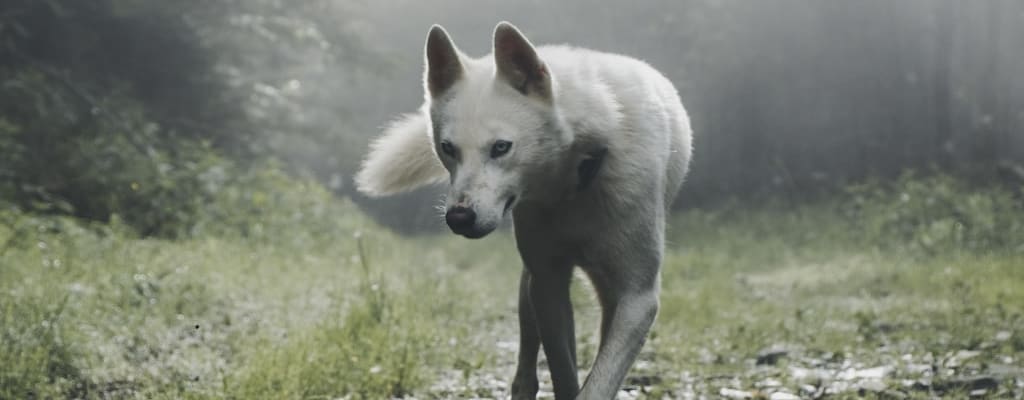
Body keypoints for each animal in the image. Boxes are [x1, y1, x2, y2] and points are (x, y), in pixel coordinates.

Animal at [354, 22, 696, 400]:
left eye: (501, 147)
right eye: (448, 149)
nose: (458, 218)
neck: (575, 182)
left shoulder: (638, 297)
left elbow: (599, 381)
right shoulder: (547, 282)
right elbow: (563, 371)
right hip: (531, 283)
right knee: (529, 346)